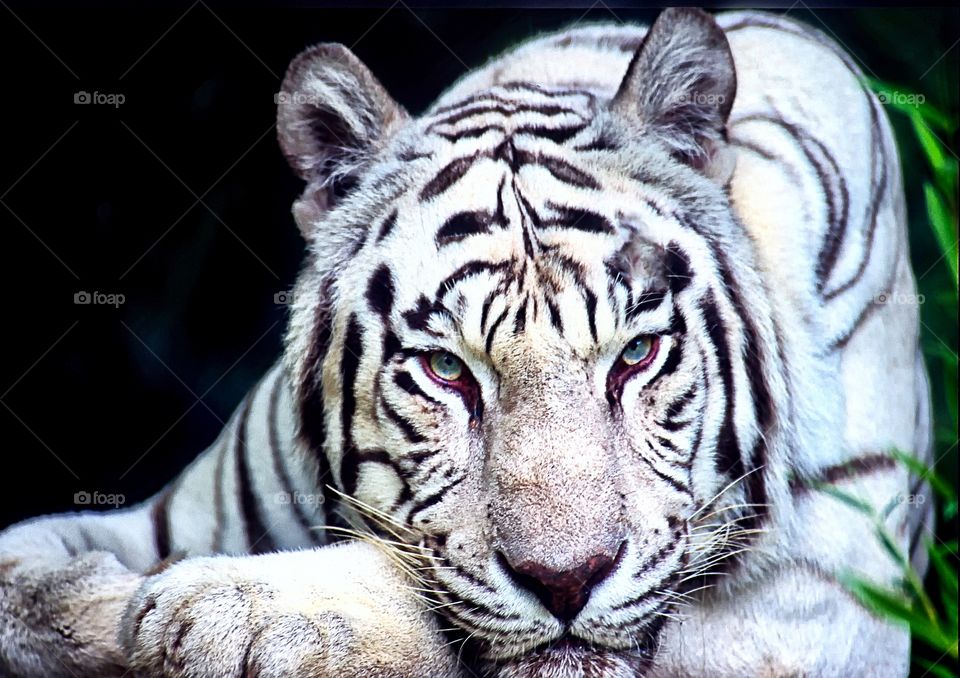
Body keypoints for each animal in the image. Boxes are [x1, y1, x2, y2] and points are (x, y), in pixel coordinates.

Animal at [0, 7, 933, 678]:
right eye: (447, 371)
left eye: (634, 356)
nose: (567, 580)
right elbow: (38, 589)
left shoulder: (809, 614)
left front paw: (228, 613)